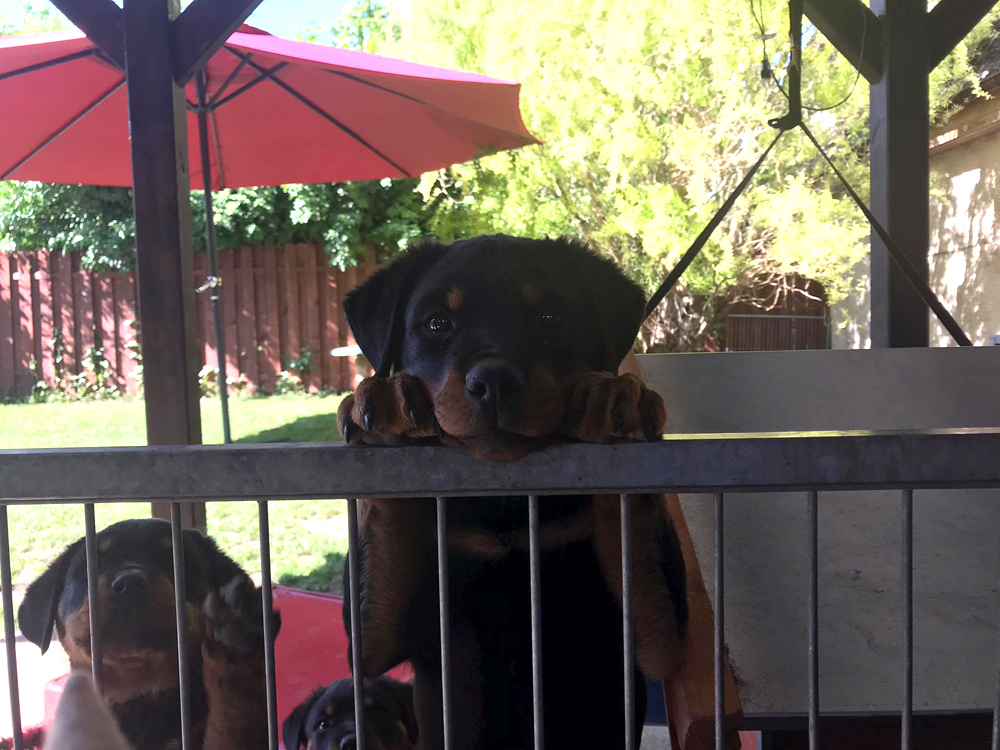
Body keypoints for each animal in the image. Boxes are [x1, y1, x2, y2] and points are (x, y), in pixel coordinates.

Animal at [336, 234, 688, 749]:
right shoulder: (377, 639)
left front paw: (618, 399)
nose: (494, 380)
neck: (504, 509)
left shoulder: (659, 639)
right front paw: (383, 405)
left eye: (551, 318)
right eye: (437, 323)